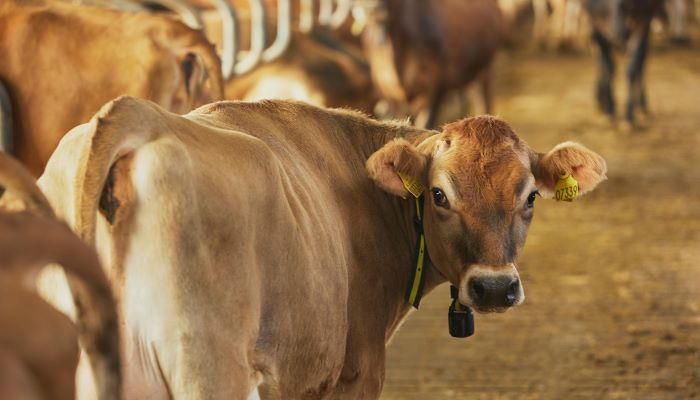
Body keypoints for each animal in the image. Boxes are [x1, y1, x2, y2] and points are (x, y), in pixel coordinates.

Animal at [38, 96, 608, 396]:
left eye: (530, 196)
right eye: (440, 194)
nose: (493, 288)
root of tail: (140, 113)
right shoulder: (357, 369)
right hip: (207, 363)